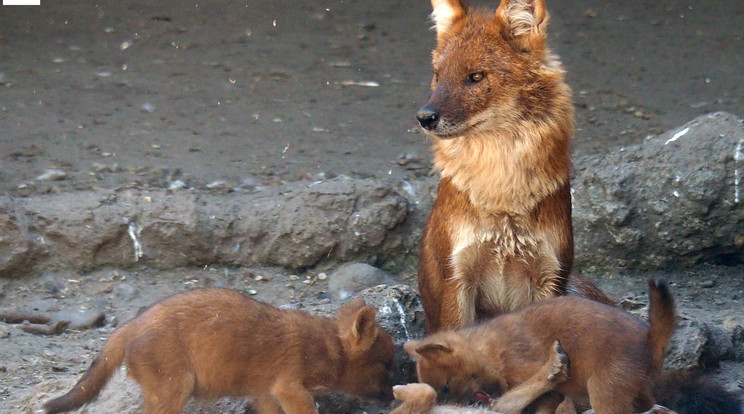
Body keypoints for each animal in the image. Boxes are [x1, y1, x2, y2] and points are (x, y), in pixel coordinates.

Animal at [42, 288, 396, 414]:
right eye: (386, 365)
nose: (392, 397)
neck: (327, 345)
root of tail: (130, 325)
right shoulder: (290, 387)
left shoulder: (266, 395)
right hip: (173, 390)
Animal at [404, 280, 676, 412]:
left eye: (446, 387)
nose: (450, 406)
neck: (488, 347)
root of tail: (649, 337)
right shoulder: (550, 396)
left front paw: (553, 365)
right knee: (649, 404)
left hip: (604, 392)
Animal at [416, 0, 612, 332]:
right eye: (437, 75)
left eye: (476, 76)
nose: (425, 117)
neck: (502, 194)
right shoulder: (457, 276)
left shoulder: (551, 275)